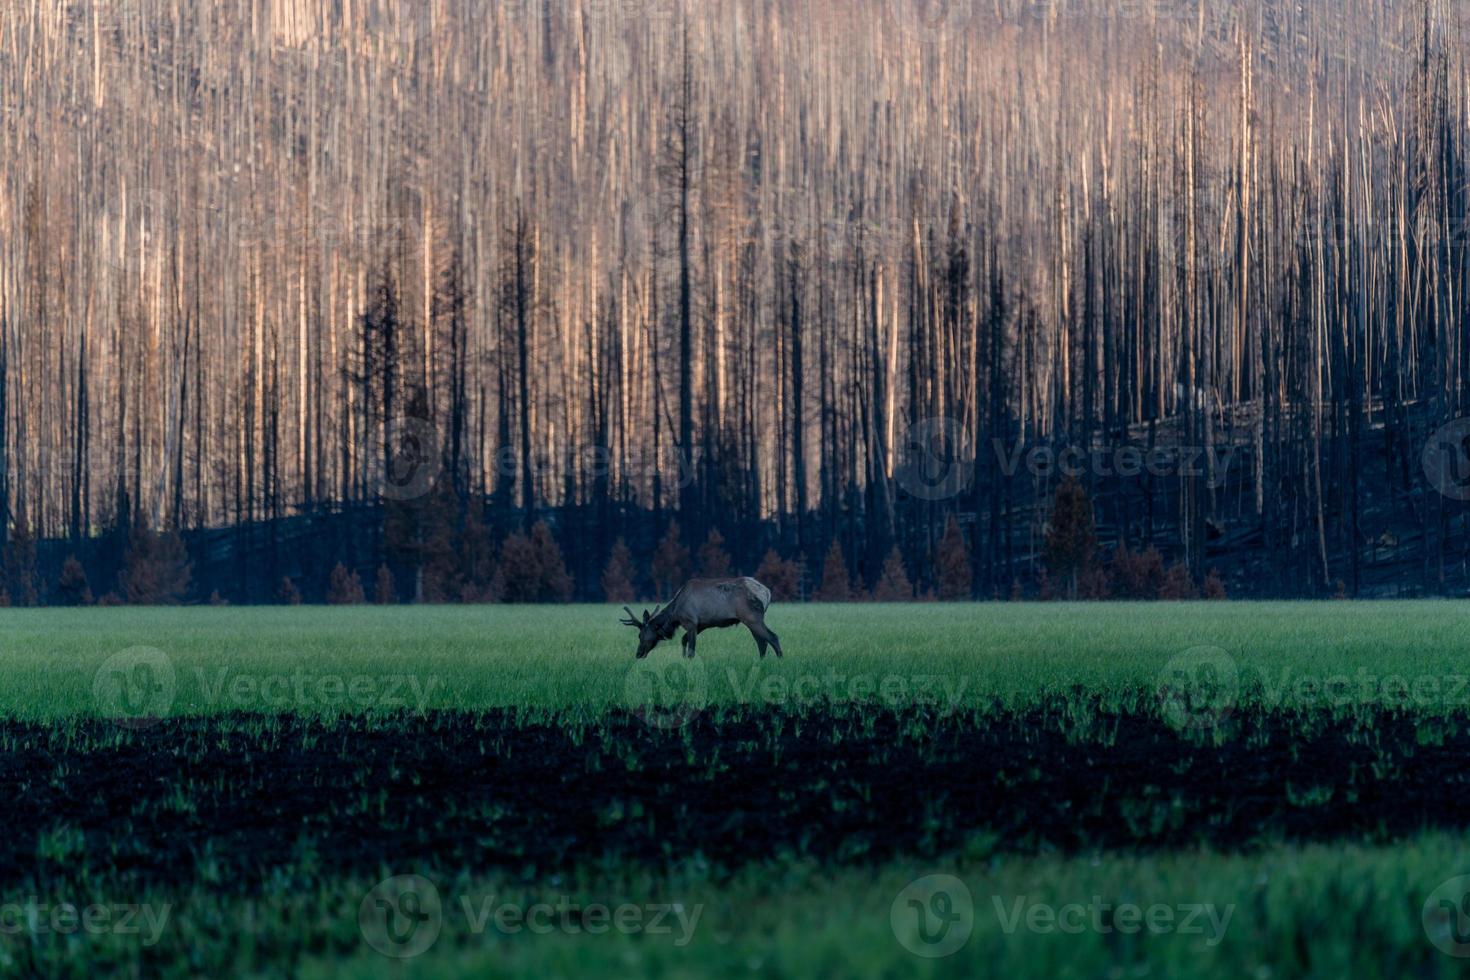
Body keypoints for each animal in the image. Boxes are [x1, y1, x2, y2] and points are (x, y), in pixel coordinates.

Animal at [617, 578, 782, 664]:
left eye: (640, 635)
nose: (638, 654)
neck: (675, 615)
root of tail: (767, 592)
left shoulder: (691, 622)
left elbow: (691, 649)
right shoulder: (701, 625)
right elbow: (683, 641)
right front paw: (683, 659)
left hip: (752, 618)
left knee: (773, 637)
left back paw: (780, 660)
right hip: (750, 621)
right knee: (762, 642)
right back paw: (761, 662)